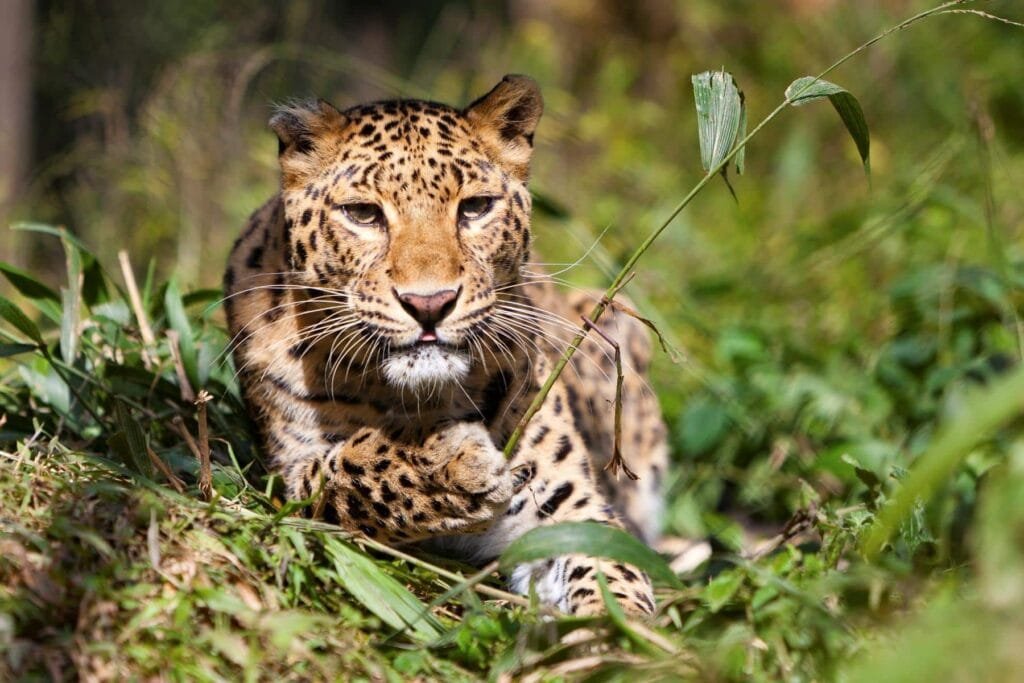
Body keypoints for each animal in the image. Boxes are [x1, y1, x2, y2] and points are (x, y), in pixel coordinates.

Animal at [223, 75, 670, 617]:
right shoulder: (289, 479)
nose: (429, 303)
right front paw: (454, 462)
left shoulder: (571, 515)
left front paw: (615, 631)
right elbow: (350, 472)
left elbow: (613, 578)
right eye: (363, 214)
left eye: (475, 208)